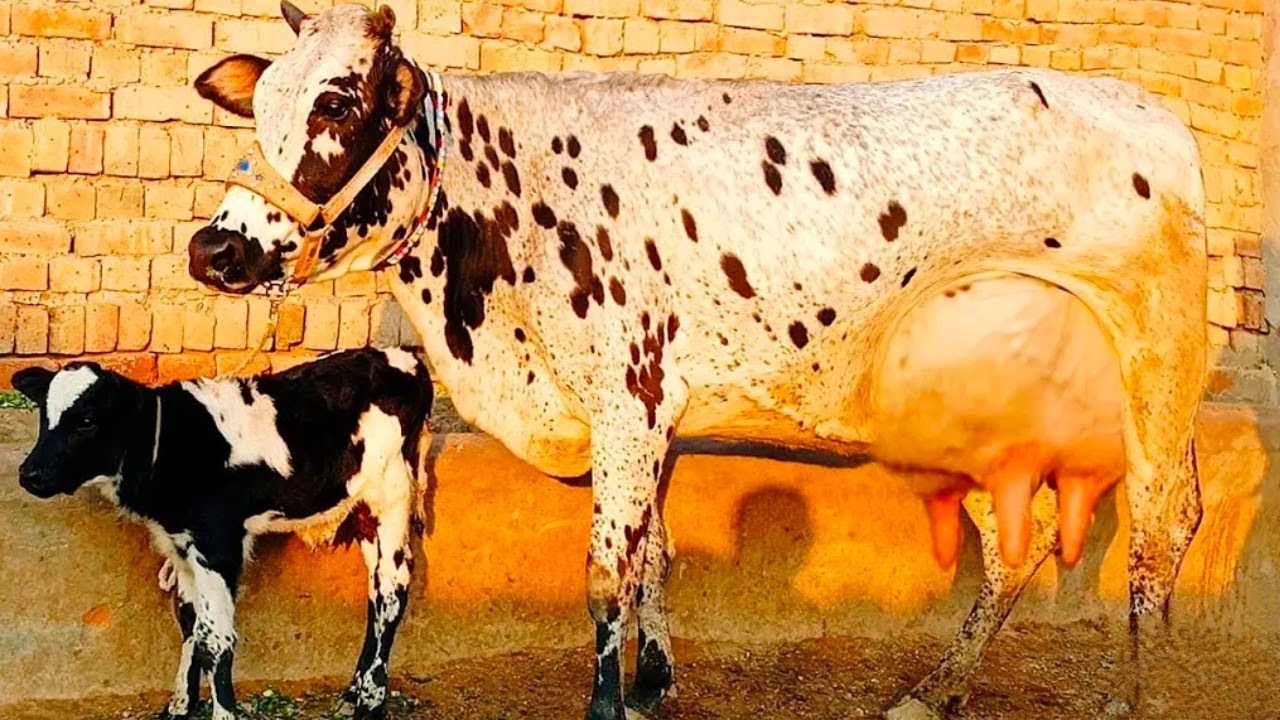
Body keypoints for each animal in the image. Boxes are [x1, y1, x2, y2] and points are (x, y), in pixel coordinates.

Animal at [12, 347, 433, 720]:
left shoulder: (217, 544)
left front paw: (222, 712)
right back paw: (351, 695)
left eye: (86, 420)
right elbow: (190, 623)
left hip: (390, 496)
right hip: (360, 510)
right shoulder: (179, 544)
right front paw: (179, 706)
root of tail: (405, 359)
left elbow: (215, 641)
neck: (168, 444)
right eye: (44, 416)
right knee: (374, 594)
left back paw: (371, 701)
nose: (29, 474)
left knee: (391, 594)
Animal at [184, 4, 1207, 718]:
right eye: (260, 104)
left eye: (337, 103)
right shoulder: (652, 418)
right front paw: (653, 681)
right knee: (1019, 540)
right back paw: (936, 690)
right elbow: (654, 558)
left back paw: (1139, 697)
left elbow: (607, 571)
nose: (213, 248)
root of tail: (1148, 110)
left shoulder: (628, 401)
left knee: (1158, 536)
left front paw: (607, 702)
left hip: (1155, 365)